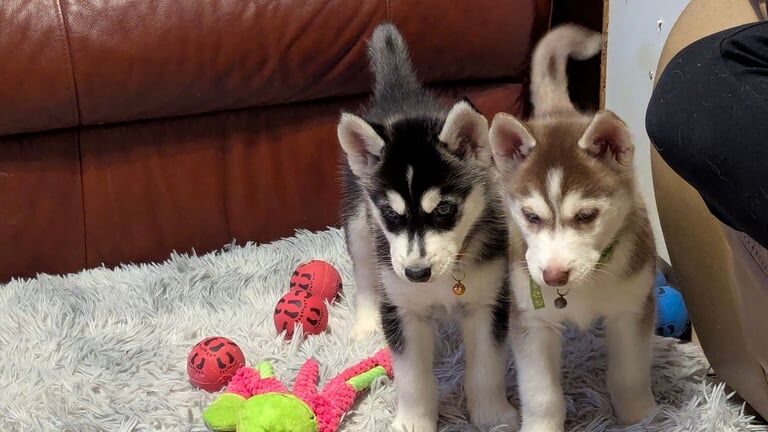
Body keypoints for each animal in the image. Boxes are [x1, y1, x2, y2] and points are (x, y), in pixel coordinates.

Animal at [340, 22, 520, 432]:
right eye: (392, 216)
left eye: (444, 211)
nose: (416, 273)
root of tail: (400, 94)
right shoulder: (402, 308)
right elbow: (412, 377)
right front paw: (413, 421)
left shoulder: (488, 301)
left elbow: (486, 368)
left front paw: (492, 414)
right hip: (359, 226)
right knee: (365, 274)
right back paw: (365, 323)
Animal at [492, 24, 660, 432]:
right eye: (531, 217)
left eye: (585, 216)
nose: (553, 276)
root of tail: (559, 112)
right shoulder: (532, 321)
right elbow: (541, 394)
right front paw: (541, 427)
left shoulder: (632, 310)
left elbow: (630, 374)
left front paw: (639, 416)